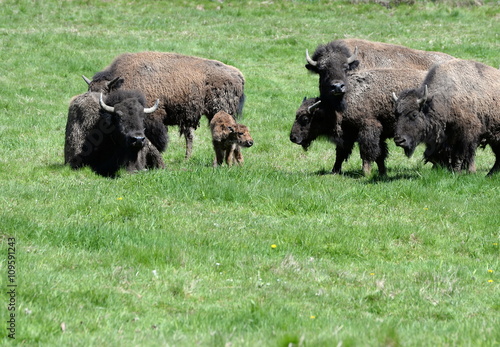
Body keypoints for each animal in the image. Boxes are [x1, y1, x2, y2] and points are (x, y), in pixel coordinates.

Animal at [292, 68, 428, 177]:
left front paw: (366, 173)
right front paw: (334, 171)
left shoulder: (368, 130)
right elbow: (344, 154)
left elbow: (367, 152)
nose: (293, 137)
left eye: (305, 119)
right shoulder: (350, 135)